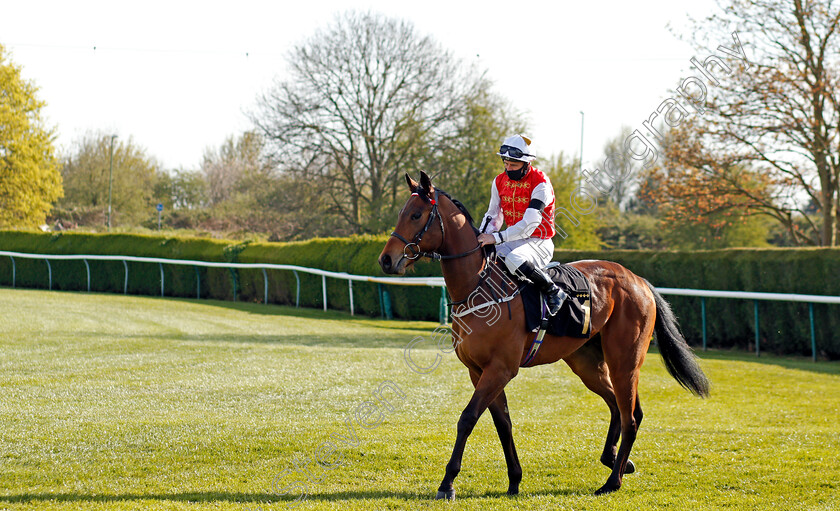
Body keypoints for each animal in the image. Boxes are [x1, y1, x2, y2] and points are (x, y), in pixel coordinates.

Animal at [378, 172, 712, 500]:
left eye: (416, 214)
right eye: (401, 213)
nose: (386, 259)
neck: (479, 286)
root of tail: (638, 279)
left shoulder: (500, 369)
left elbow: (468, 418)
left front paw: (447, 483)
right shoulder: (479, 371)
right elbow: (503, 423)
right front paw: (514, 480)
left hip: (624, 361)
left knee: (629, 416)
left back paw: (611, 481)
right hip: (587, 364)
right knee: (620, 407)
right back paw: (616, 460)